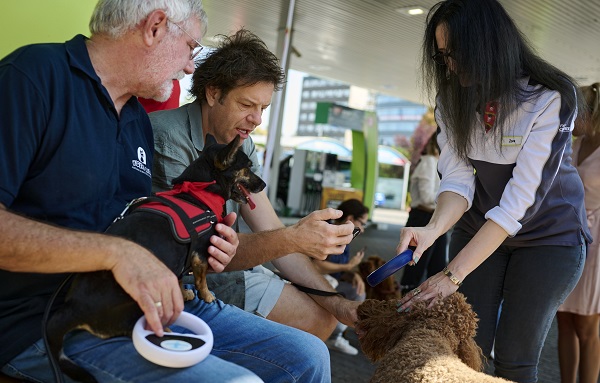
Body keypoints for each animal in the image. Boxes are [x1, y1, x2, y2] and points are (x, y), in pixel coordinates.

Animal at [44, 134, 264, 383]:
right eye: (248, 167)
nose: (264, 185)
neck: (197, 192)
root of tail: (73, 308)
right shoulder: (201, 253)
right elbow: (202, 279)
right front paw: (206, 296)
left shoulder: (179, 257)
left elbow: (180, 278)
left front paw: (184, 293)